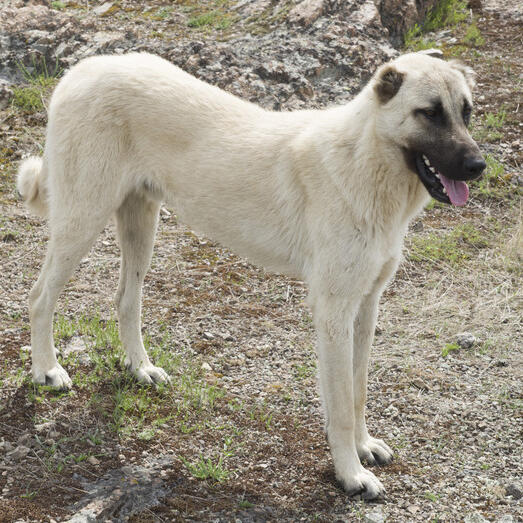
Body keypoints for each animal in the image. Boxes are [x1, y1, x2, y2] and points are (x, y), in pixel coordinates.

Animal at [17, 49, 488, 500]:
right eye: (429, 113)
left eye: (466, 112)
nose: (478, 166)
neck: (365, 160)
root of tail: (85, 68)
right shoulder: (334, 312)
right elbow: (339, 406)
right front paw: (351, 475)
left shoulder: (366, 306)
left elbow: (358, 392)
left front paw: (363, 447)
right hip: (82, 220)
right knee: (40, 297)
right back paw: (48, 370)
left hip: (140, 226)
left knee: (125, 300)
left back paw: (141, 368)